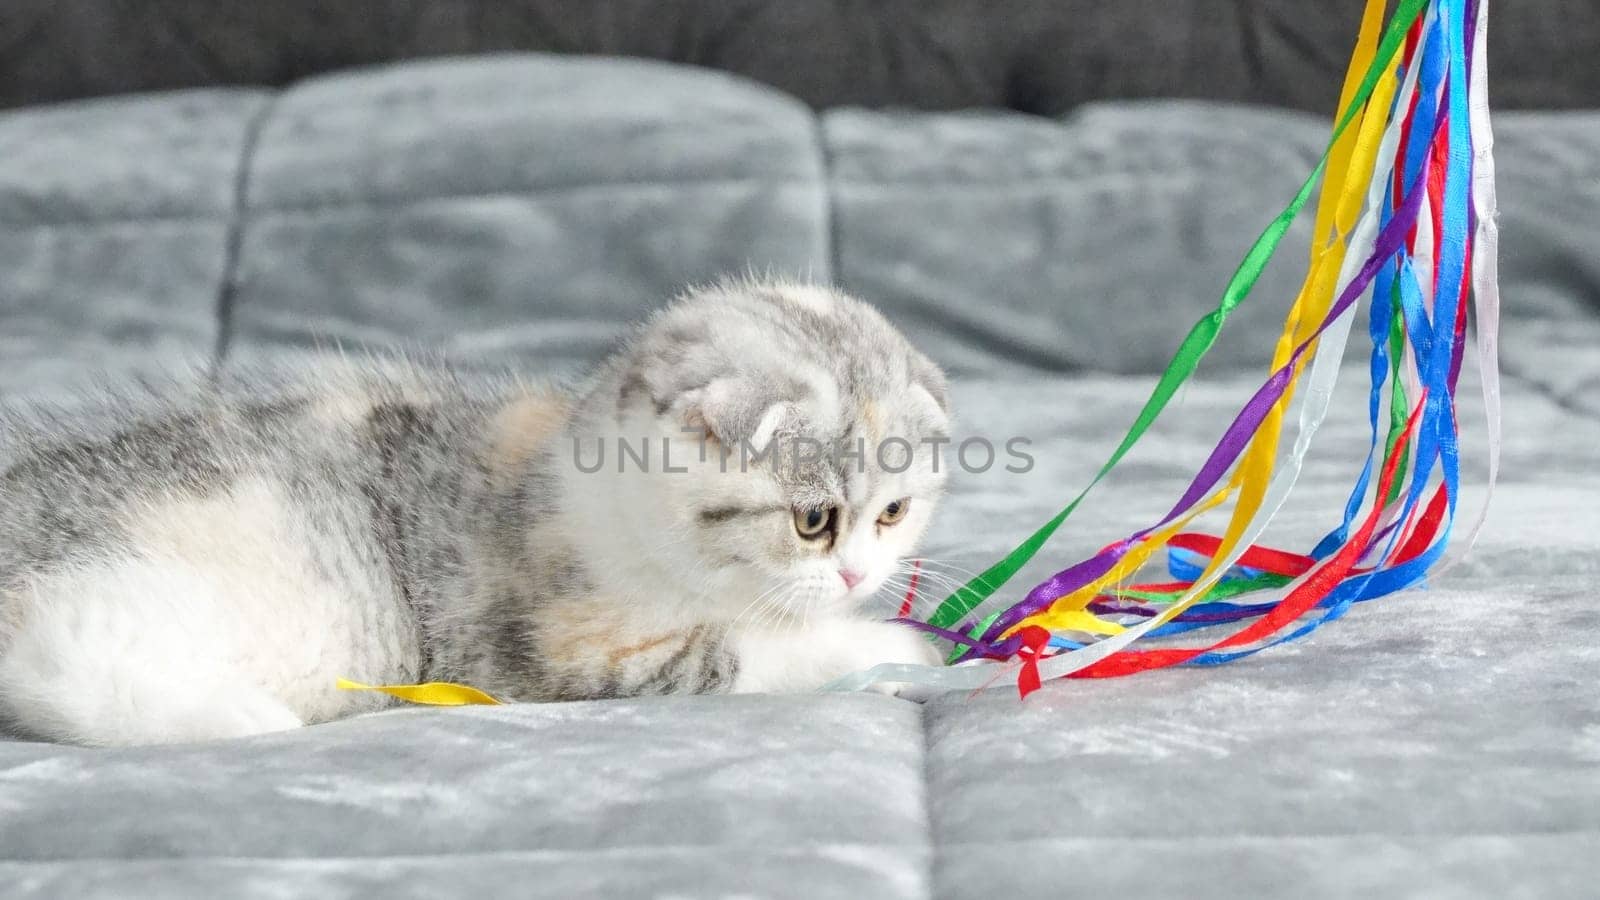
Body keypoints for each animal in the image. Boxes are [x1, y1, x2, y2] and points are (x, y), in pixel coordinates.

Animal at [0, 278, 947, 743]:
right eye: (813, 520)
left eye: (893, 513)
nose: (859, 571)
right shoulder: (556, 651)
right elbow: (749, 654)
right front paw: (903, 647)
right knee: (59, 649)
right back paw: (242, 717)